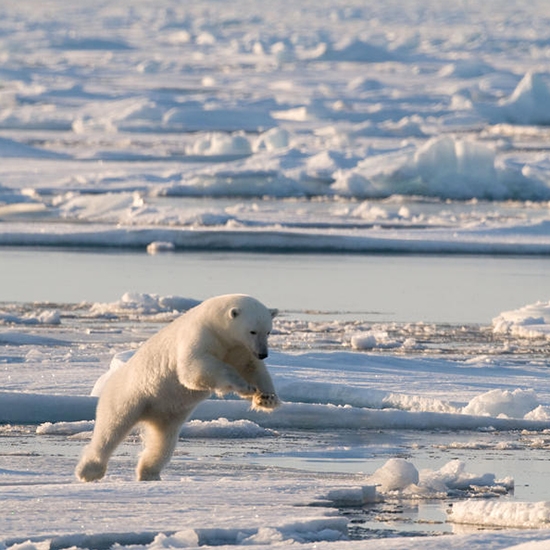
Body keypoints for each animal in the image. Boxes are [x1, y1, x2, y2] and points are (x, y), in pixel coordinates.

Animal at [75, 294, 280, 484]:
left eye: (268, 331)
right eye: (252, 331)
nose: (263, 353)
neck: (217, 325)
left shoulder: (240, 349)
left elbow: (254, 369)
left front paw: (267, 398)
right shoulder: (201, 336)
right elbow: (195, 368)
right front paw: (244, 386)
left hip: (169, 414)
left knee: (163, 443)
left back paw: (149, 473)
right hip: (130, 395)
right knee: (111, 429)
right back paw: (89, 471)